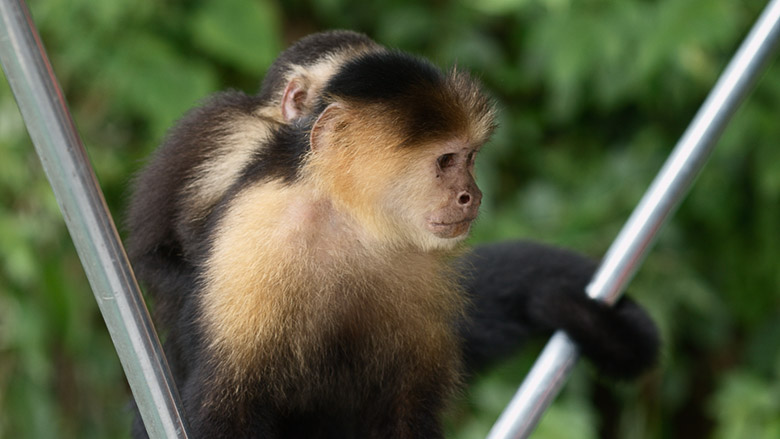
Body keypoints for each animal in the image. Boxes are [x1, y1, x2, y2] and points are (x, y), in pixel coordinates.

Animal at [126, 31, 660, 439]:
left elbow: (407, 402)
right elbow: (227, 401)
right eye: (446, 161)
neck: (349, 220)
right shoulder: (255, 228)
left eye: (470, 159)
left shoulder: (418, 263)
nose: (473, 195)